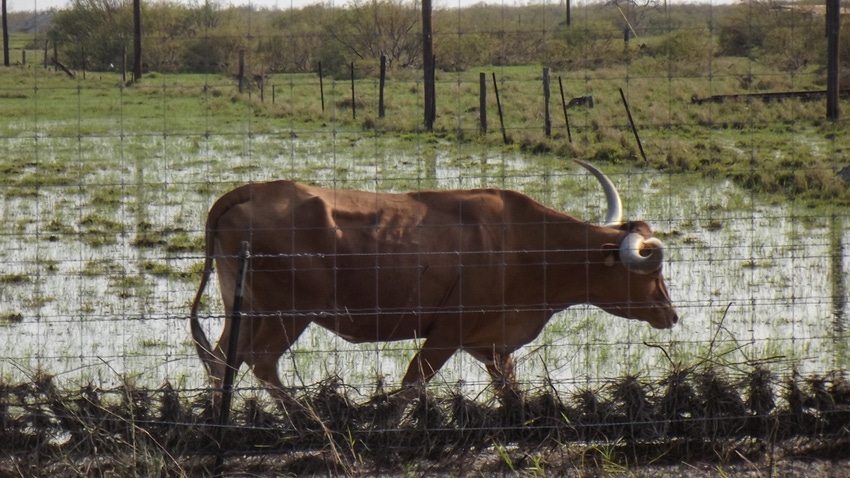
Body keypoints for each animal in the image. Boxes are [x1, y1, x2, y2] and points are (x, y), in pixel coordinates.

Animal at [190, 161, 676, 404]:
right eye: (652, 270)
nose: (670, 313)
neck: (524, 242)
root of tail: (257, 188)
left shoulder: (490, 342)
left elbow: (509, 389)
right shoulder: (448, 331)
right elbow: (412, 384)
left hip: (244, 308)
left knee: (222, 360)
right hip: (287, 313)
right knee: (261, 362)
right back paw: (306, 418)